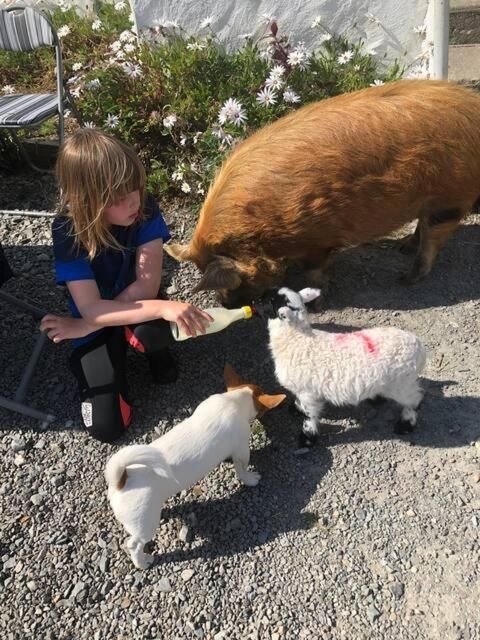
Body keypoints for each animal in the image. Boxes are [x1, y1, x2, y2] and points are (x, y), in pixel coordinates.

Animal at [104, 364, 284, 568]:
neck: (234, 401)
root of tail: (120, 480)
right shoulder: (242, 450)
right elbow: (242, 469)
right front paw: (251, 479)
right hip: (145, 526)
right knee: (133, 545)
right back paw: (142, 562)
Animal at [266, 288, 428, 448]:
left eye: (273, 301)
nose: (261, 297)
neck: (296, 338)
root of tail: (419, 347)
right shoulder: (302, 389)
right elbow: (300, 404)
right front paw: (295, 409)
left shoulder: (307, 391)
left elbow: (309, 417)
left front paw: (307, 439)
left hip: (402, 383)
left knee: (415, 400)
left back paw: (405, 425)